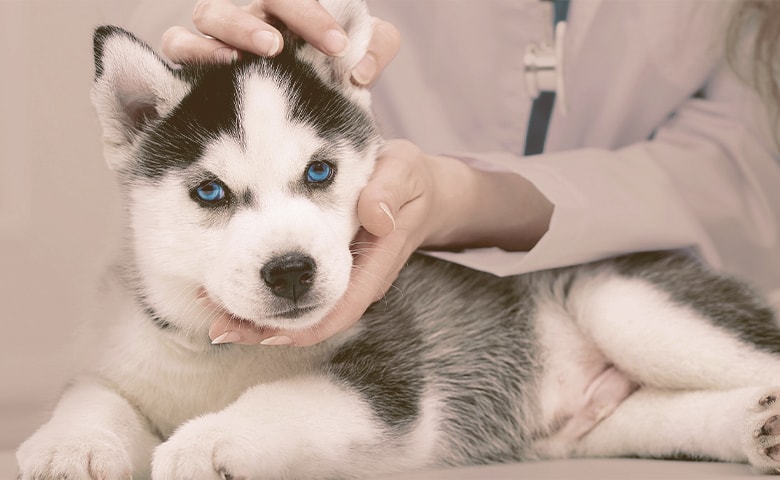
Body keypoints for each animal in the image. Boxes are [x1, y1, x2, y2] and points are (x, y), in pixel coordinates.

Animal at [16, 0, 780, 480]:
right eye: (209, 193)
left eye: (319, 171)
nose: (291, 271)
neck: (221, 354)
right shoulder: (128, 353)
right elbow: (92, 395)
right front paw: (66, 446)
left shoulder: (389, 378)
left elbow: (288, 399)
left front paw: (204, 440)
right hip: (603, 426)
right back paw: (753, 427)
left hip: (624, 303)